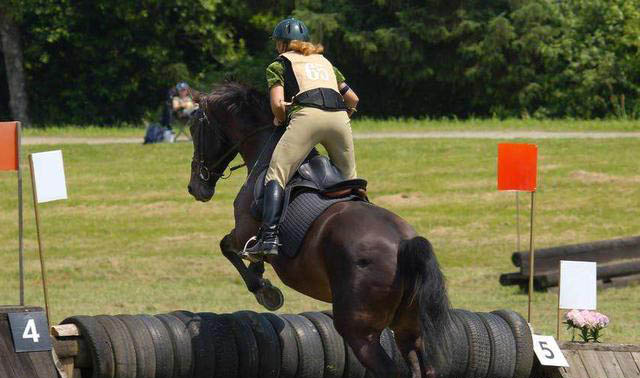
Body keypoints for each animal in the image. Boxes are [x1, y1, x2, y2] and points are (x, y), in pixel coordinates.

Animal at [188, 81, 452, 376]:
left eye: (193, 128)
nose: (195, 187)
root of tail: (404, 245)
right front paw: (261, 278)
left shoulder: (244, 229)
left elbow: (228, 247)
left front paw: (265, 291)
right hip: (409, 329)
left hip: (360, 332)